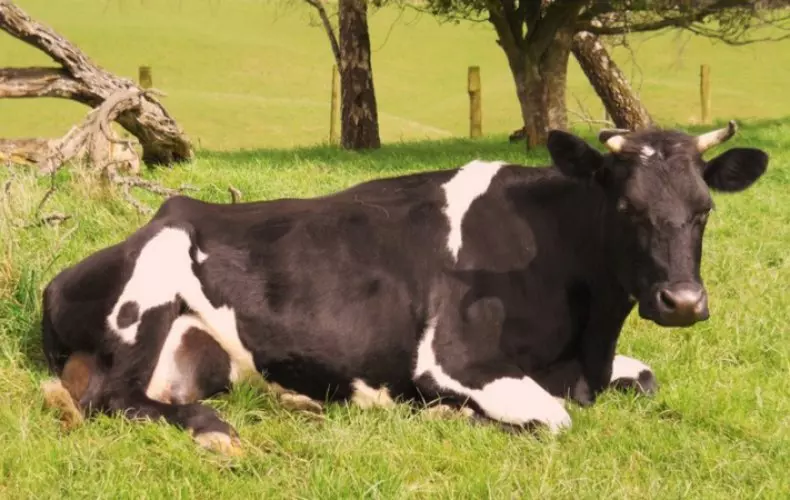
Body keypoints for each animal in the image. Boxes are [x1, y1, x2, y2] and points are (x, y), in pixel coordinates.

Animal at [39, 122, 768, 455]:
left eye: (704, 208)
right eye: (626, 206)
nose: (683, 302)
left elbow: (645, 379)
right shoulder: (454, 358)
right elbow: (553, 419)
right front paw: (448, 414)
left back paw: (294, 403)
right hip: (152, 284)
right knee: (114, 399)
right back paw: (215, 429)